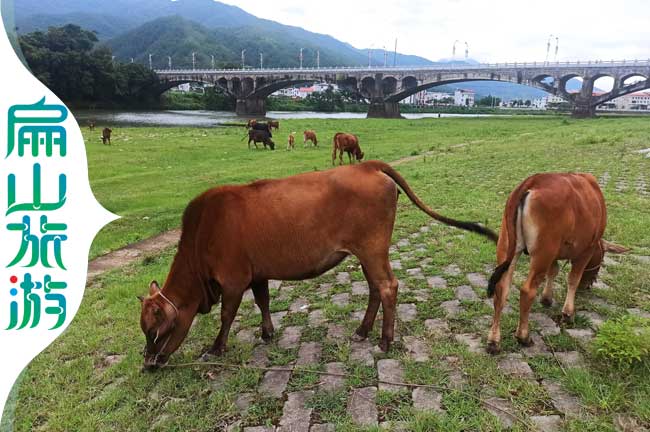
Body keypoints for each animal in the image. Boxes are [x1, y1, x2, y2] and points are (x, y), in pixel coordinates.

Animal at [139, 160, 496, 370]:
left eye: (157, 330)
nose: (148, 364)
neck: (204, 233)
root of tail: (367, 166)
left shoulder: (233, 280)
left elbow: (227, 316)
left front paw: (216, 348)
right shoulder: (257, 274)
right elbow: (263, 301)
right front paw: (267, 332)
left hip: (372, 249)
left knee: (387, 286)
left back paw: (385, 340)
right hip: (365, 253)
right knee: (375, 288)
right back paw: (363, 330)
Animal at [486, 173, 628, 354]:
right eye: (601, 259)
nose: (588, 286)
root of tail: (534, 180)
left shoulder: (556, 252)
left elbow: (553, 271)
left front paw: (547, 298)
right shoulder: (586, 250)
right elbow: (573, 279)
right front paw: (568, 313)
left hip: (507, 244)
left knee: (501, 289)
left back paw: (494, 341)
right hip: (543, 252)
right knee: (527, 291)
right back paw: (523, 336)